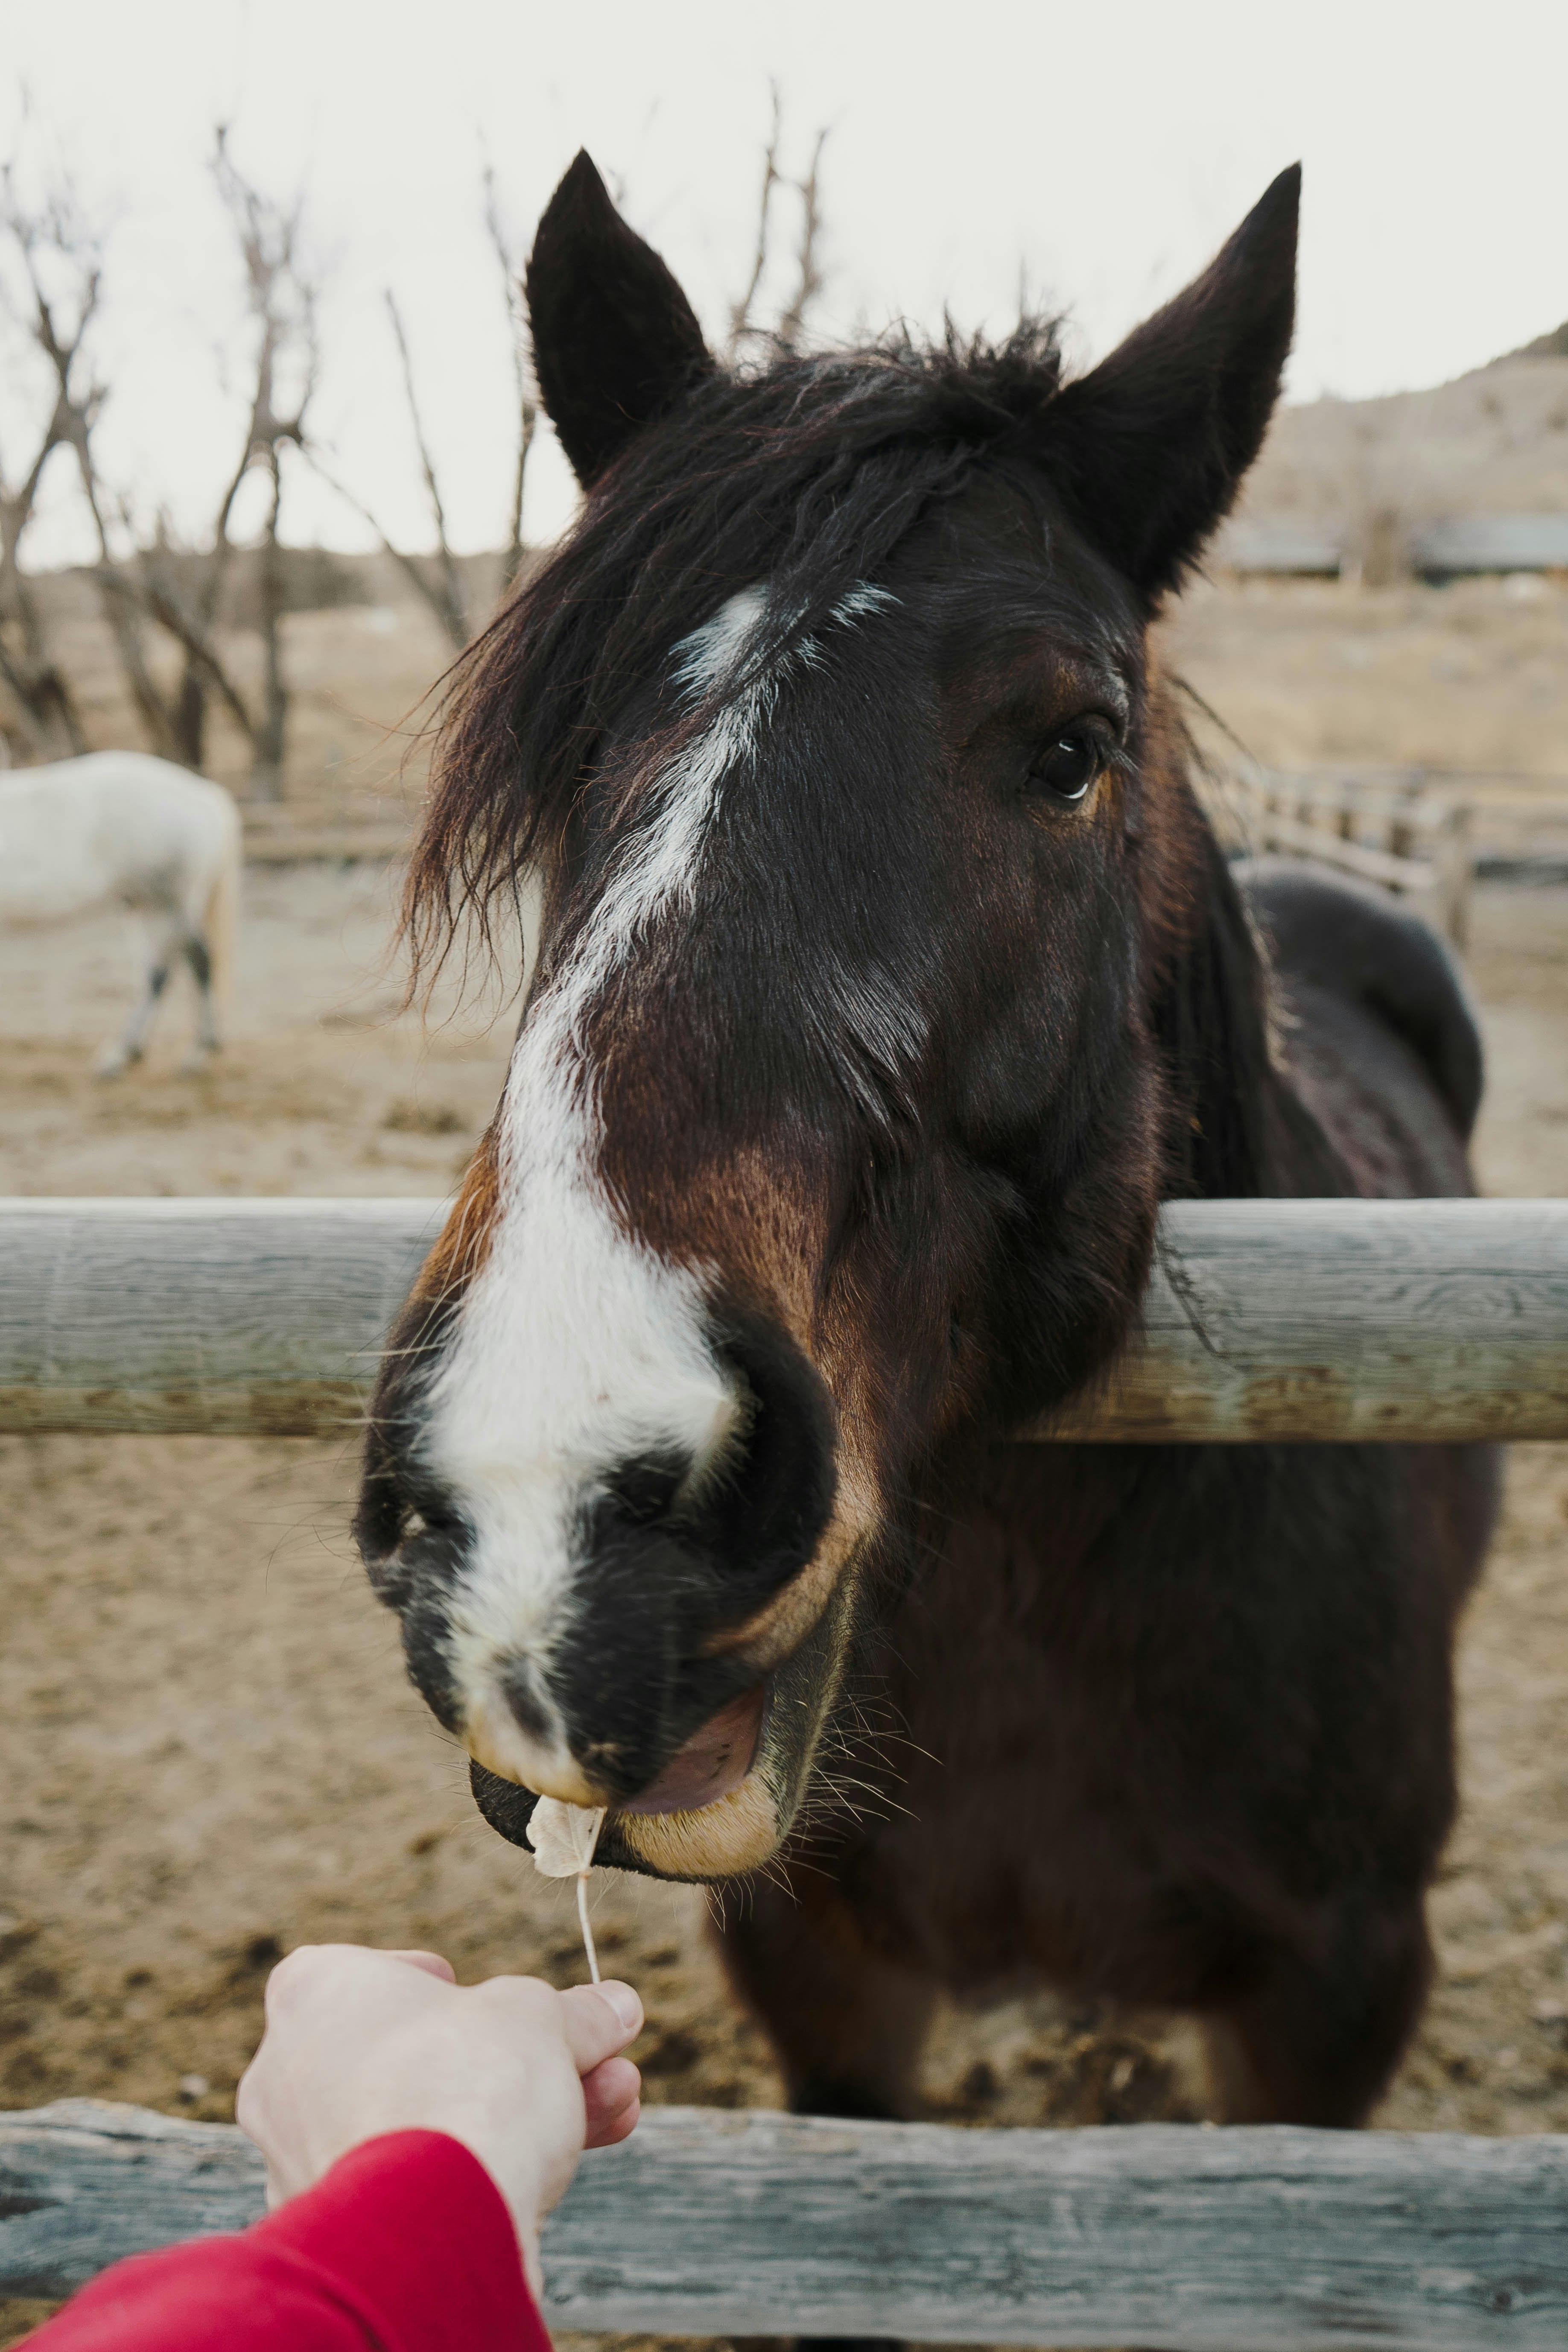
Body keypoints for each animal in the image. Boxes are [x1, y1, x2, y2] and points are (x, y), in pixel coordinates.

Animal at [0, 752, 241, 1077]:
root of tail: (204, 795)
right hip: (145, 906)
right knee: (160, 971)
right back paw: (133, 1053)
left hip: (168, 906)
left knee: (191, 964)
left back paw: (187, 1054)